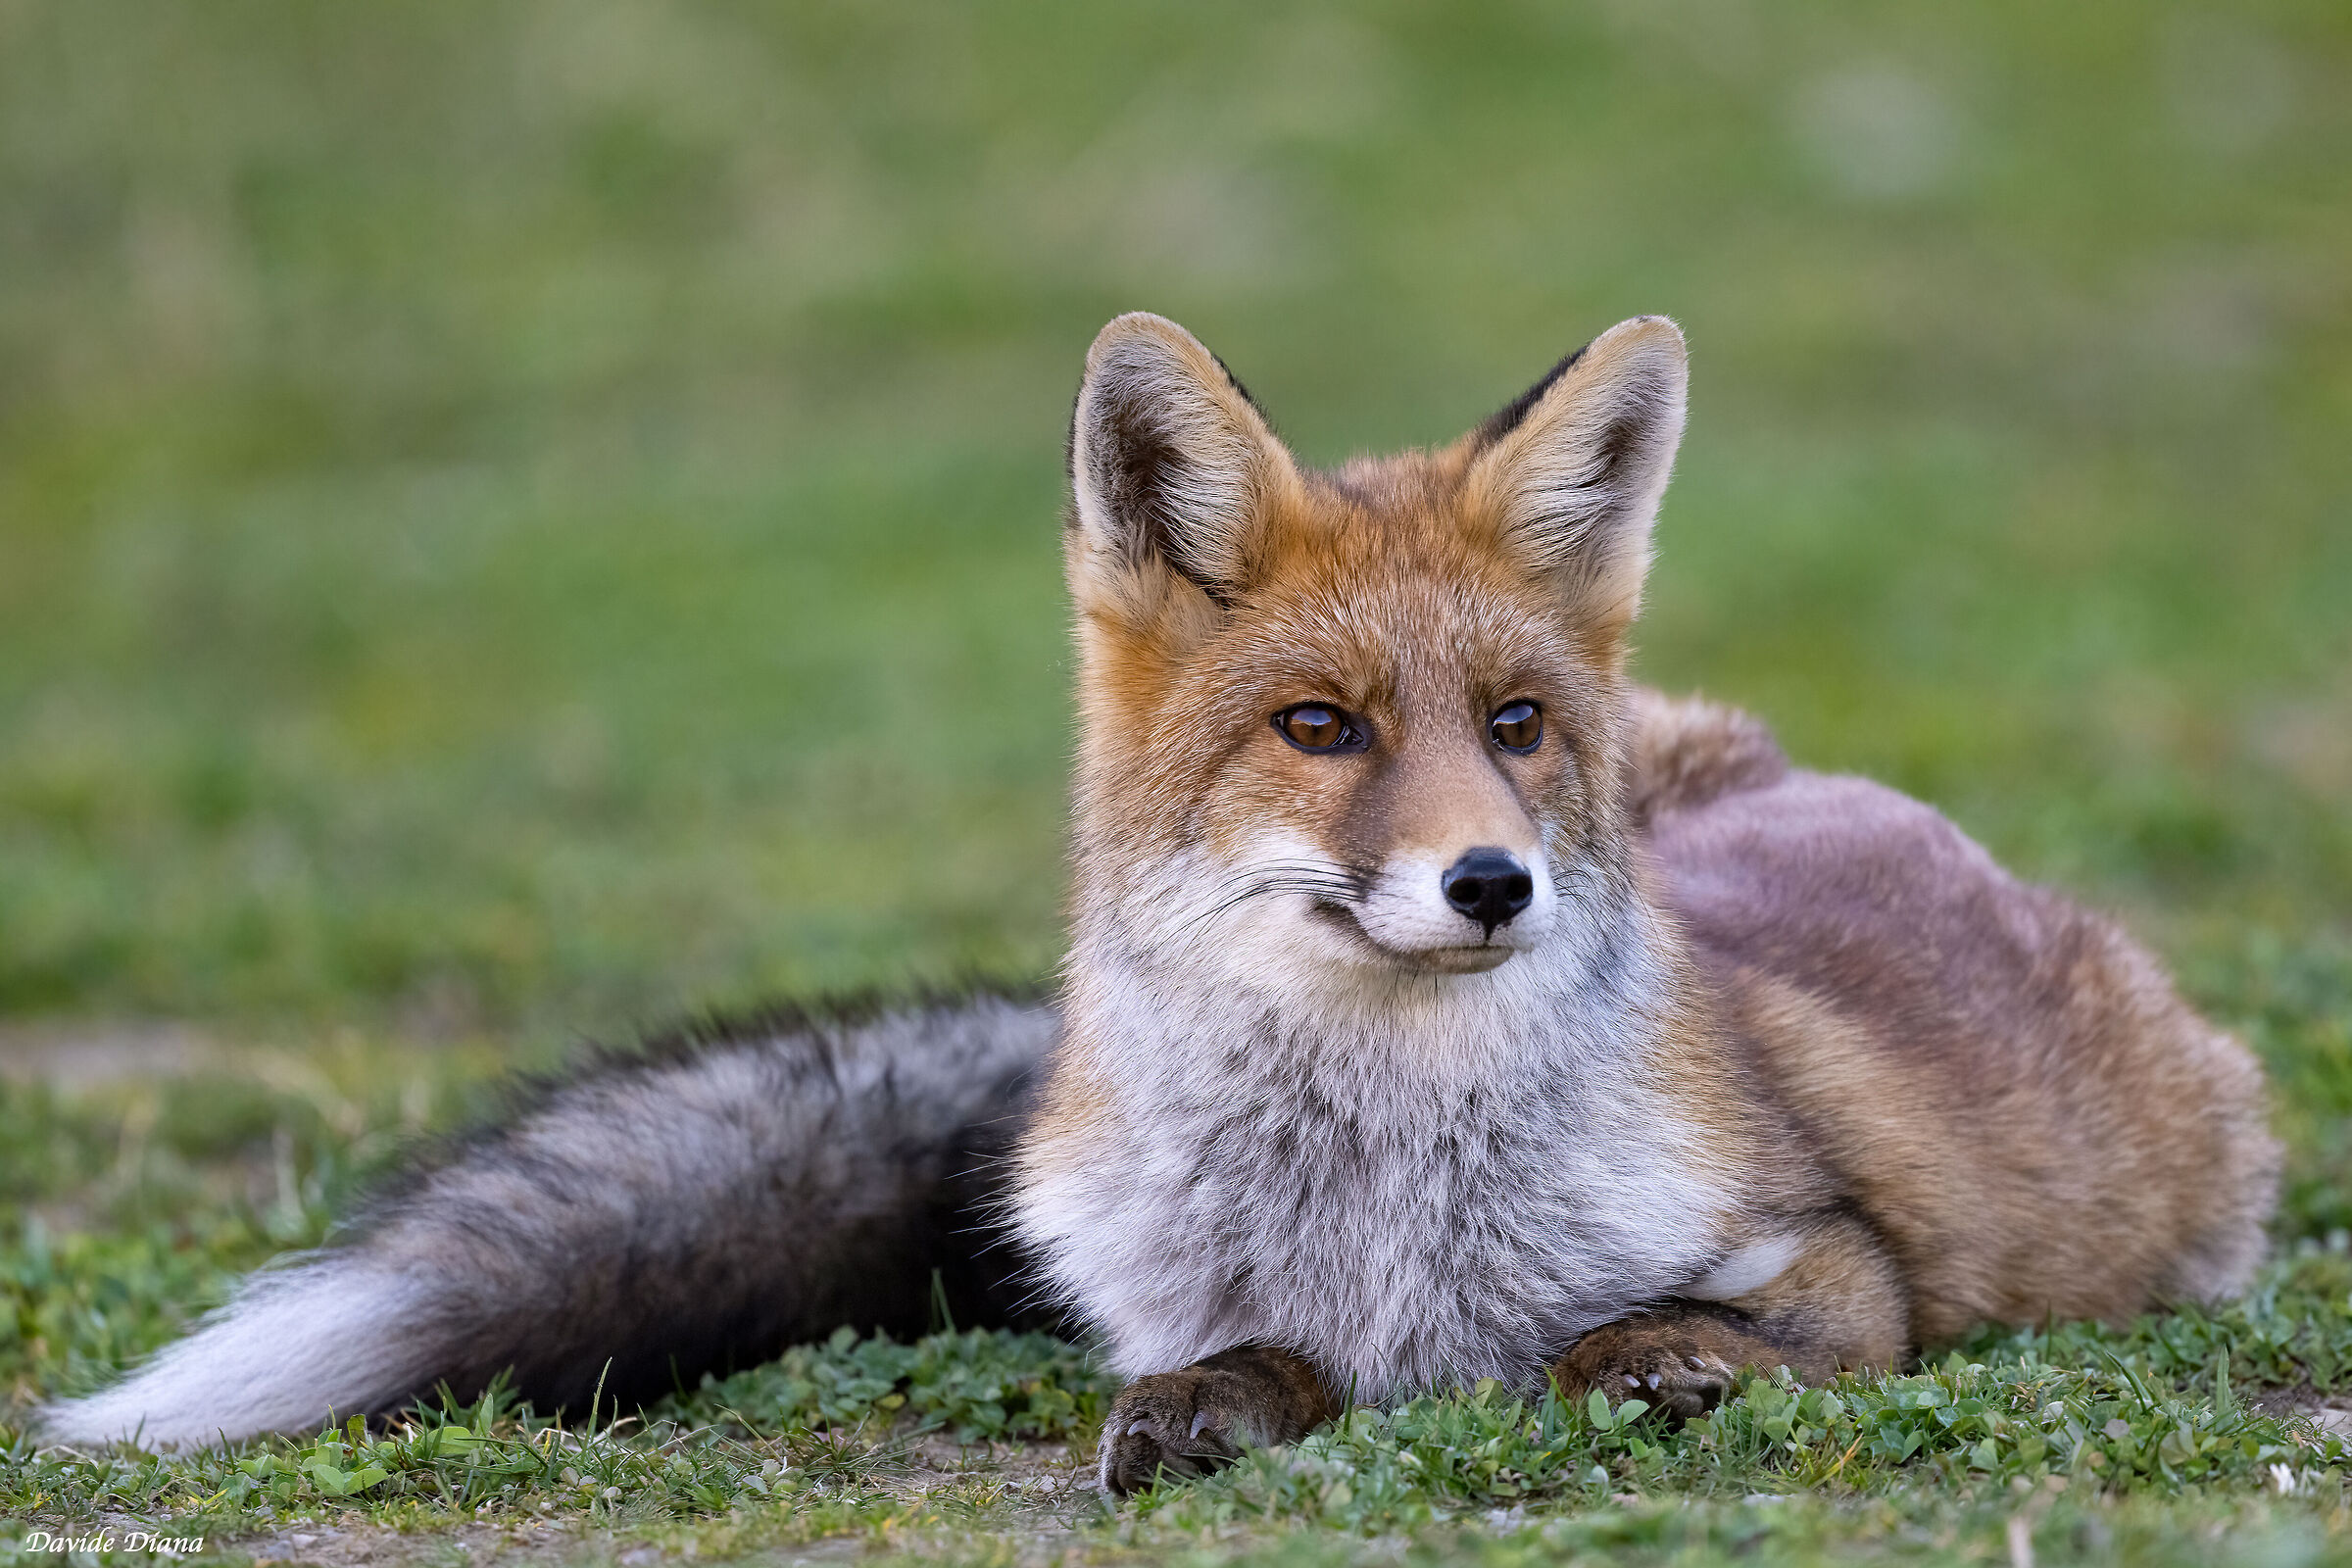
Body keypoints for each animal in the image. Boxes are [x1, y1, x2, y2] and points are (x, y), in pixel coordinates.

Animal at [39, 314, 2277, 1500]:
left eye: (1516, 724)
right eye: (1320, 724)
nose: (1489, 878)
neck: (1382, 1200)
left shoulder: (1845, 1257)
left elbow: (1665, 1334)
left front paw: (1650, 1364)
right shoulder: (1182, 1294)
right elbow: (1236, 1363)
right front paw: (1210, 1412)